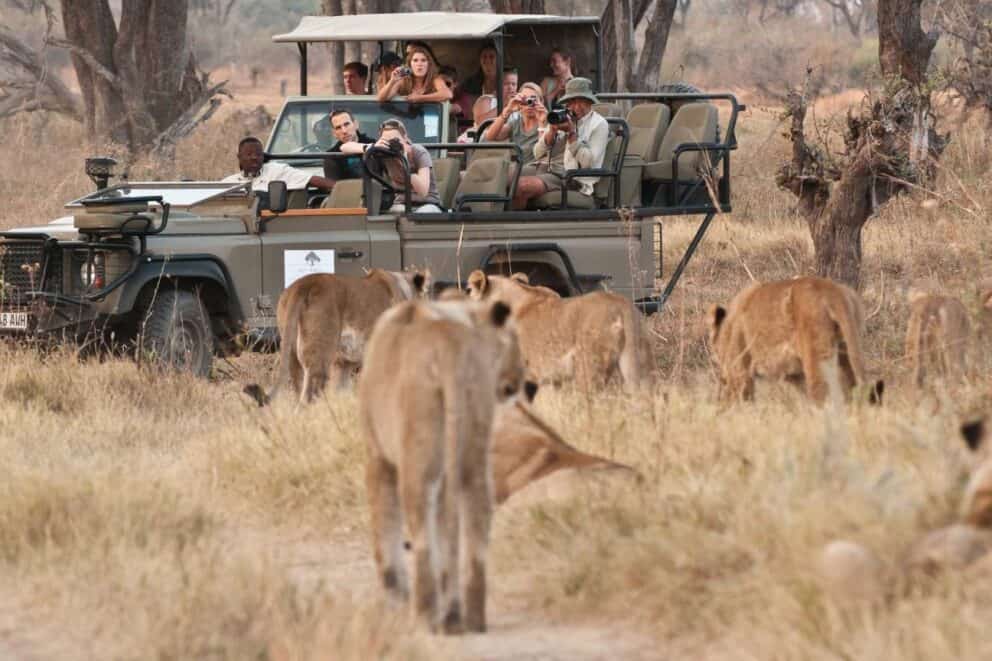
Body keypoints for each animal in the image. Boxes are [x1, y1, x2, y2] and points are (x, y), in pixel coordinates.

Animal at [245, 268, 427, 406]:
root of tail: (305, 284)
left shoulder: (342, 364)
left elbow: (342, 394)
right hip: (318, 360)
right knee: (306, 401)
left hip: (292, 357)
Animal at [358, 297, 523, 634]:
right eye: (514, 340)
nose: (524, 381)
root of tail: (449, 349)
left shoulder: (377, 457)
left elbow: (386, 530)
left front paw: (394, 602)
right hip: (473, 451)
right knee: (476, 526)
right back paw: (468, 619)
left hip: (416, 454)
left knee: (422, 538)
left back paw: (424, 617)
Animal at [707, 276, 881, 404]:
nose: (722, 377)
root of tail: (832, 292)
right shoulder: (796, 376)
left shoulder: (740, 372)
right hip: (847, 353)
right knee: (852, 392)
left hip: (816, 358)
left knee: (822, 396)